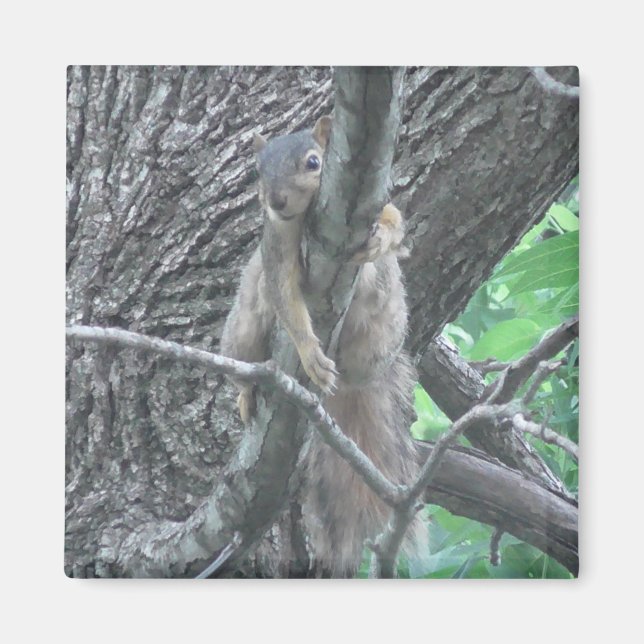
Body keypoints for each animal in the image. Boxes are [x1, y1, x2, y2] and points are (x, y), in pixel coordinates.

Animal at [220, 116, 427, 577]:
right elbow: (286, 300)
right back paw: (247, 391)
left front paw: (384, 237)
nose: (276, 201)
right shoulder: (276, 247)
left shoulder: (373, 206)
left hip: (385, 326)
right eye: (258, 170)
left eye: (313, 163)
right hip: (241, 333)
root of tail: (350, 380)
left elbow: (394, 216)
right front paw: (309, 354)